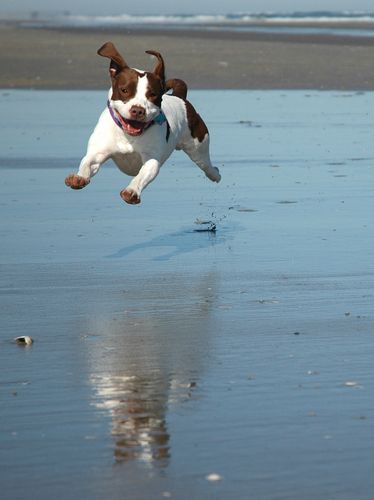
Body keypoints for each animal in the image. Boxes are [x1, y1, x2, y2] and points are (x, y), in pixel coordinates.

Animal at [65, 41, 221, 204]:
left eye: (152, 94)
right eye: (124, 90)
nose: (138, 110)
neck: (128, 135)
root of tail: (179, 96)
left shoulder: (151, 160)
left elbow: (141, 175)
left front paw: (132, 191)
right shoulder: (98, 152)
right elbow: (87, 163)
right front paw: (79, 177)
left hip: (198, 146)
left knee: (207, 166)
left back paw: (215, 174)